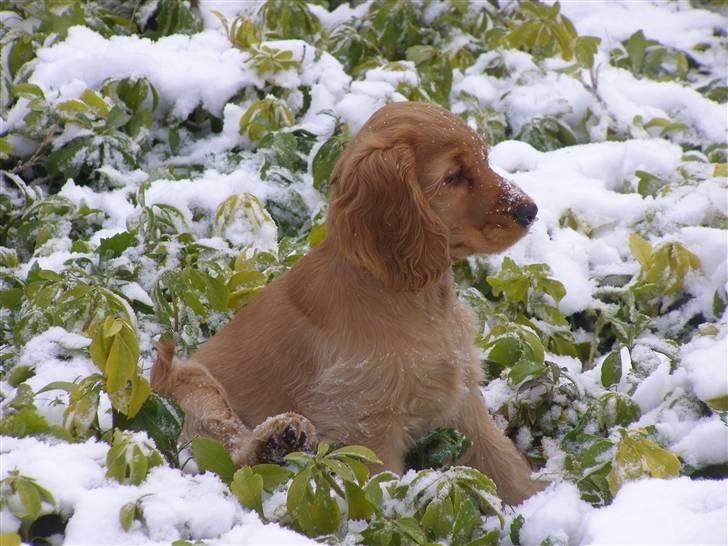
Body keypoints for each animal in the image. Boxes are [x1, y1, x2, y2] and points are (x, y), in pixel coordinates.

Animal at [151, 101, 544, 502]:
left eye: (484, 161)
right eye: (454, 176)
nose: (529, 210)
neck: (420, 300)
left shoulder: (462, 399)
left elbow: (500, 460)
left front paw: (537, 499)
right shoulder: (367, 425)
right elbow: (381, 488)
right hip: (197, 390)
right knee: (228, 459)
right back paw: (275, 441)